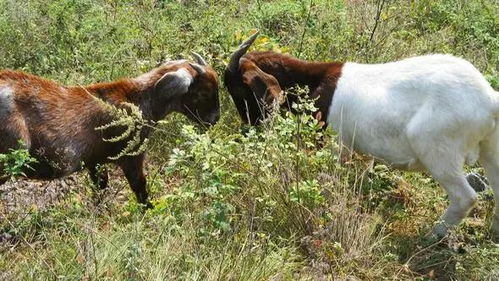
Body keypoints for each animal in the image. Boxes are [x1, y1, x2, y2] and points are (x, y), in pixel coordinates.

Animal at [0, 54, 219, 207]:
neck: (138, 99)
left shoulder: (95, 162)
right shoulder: (132, 156)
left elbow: (100, 186)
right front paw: (149, 212)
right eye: (204, 92)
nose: (215, 119)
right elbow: (140, 188)